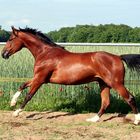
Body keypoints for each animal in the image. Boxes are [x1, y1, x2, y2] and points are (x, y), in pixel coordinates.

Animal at [1, 26, 140, 124]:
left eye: (10, 39)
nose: (4, 54)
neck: (45, 53)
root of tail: (118, 57)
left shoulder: (40, 79)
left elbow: (29, 95)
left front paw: (16, 112)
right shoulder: (40, 78)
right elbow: (22, 85)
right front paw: (12, 103)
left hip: (116, 83)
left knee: (130, 98)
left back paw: (136, 121)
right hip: (104, 83)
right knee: (106, 102)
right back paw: (93, 119)